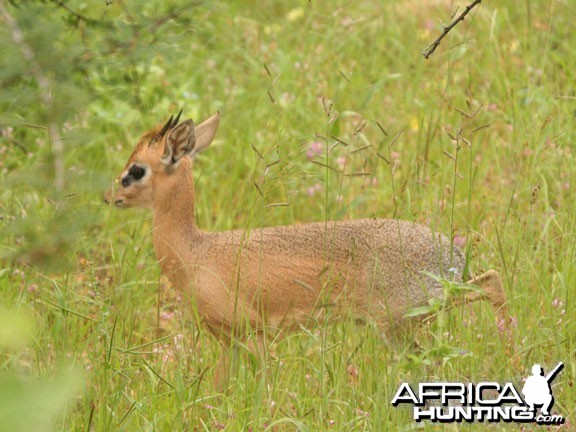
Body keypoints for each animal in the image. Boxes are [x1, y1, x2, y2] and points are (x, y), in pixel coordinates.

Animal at [104, 111, 508, 352]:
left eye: (136, 170)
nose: (110, 197)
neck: (196, 253)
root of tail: (450, 256)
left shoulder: (254, 336)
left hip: (398, 321)